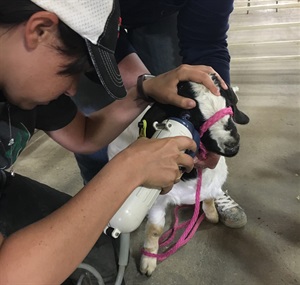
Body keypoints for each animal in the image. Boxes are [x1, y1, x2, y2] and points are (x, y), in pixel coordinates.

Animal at [107, 76, 248, 276]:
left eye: (228, 104)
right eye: (188, 114)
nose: (231, 145)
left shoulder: (214, 177)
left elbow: (209, 196)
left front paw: (212, 215)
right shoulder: (157, 200)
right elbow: (155, 230)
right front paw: (148, 263)